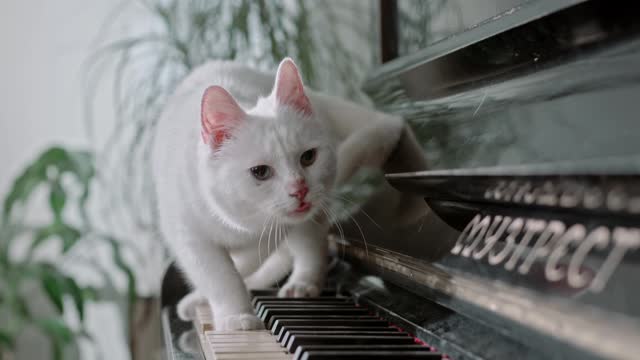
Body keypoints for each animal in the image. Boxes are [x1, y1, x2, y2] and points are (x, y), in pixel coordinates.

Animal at [152, 57, 402, 330]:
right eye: (260, 172)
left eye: (308, 157)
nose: (300, 189)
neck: (237, 224)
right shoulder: (190, 238)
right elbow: (222, 277)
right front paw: (236, 316)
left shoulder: (274, 232)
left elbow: (243, 267)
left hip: (310, 219)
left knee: (310, 246)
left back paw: (302, 284)